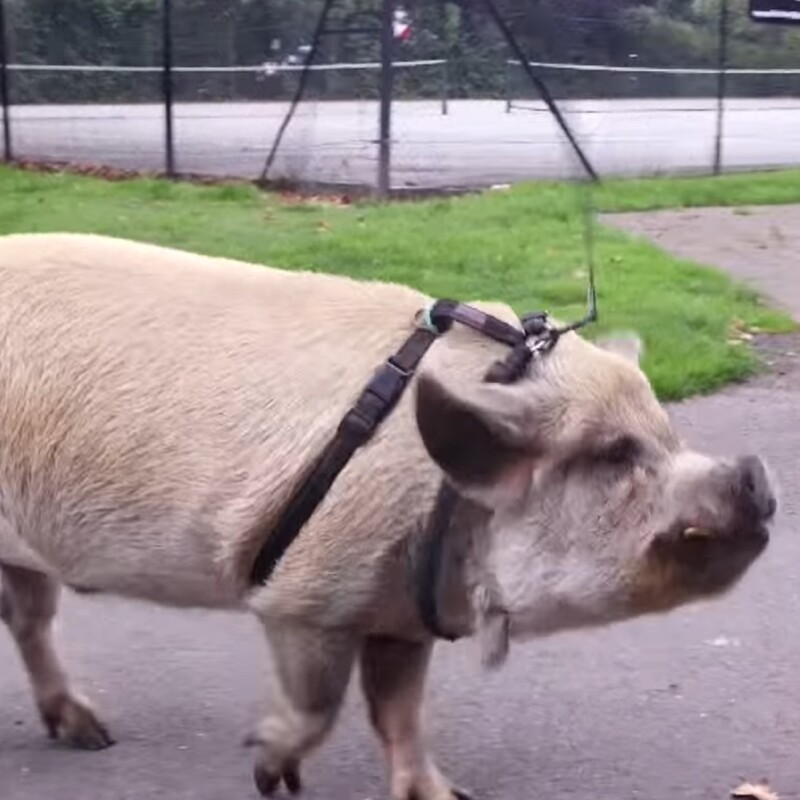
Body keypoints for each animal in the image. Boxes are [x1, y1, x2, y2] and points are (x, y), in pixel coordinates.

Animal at [0, 232, 777, 800]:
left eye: (669, 435)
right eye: (613, 454)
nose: (756, 475)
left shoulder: (401, 611)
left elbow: (399, 712)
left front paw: (445, 797)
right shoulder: (303, 598)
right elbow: (322, 704)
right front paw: (267, 771)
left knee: (30, 619)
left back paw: (91, 735)